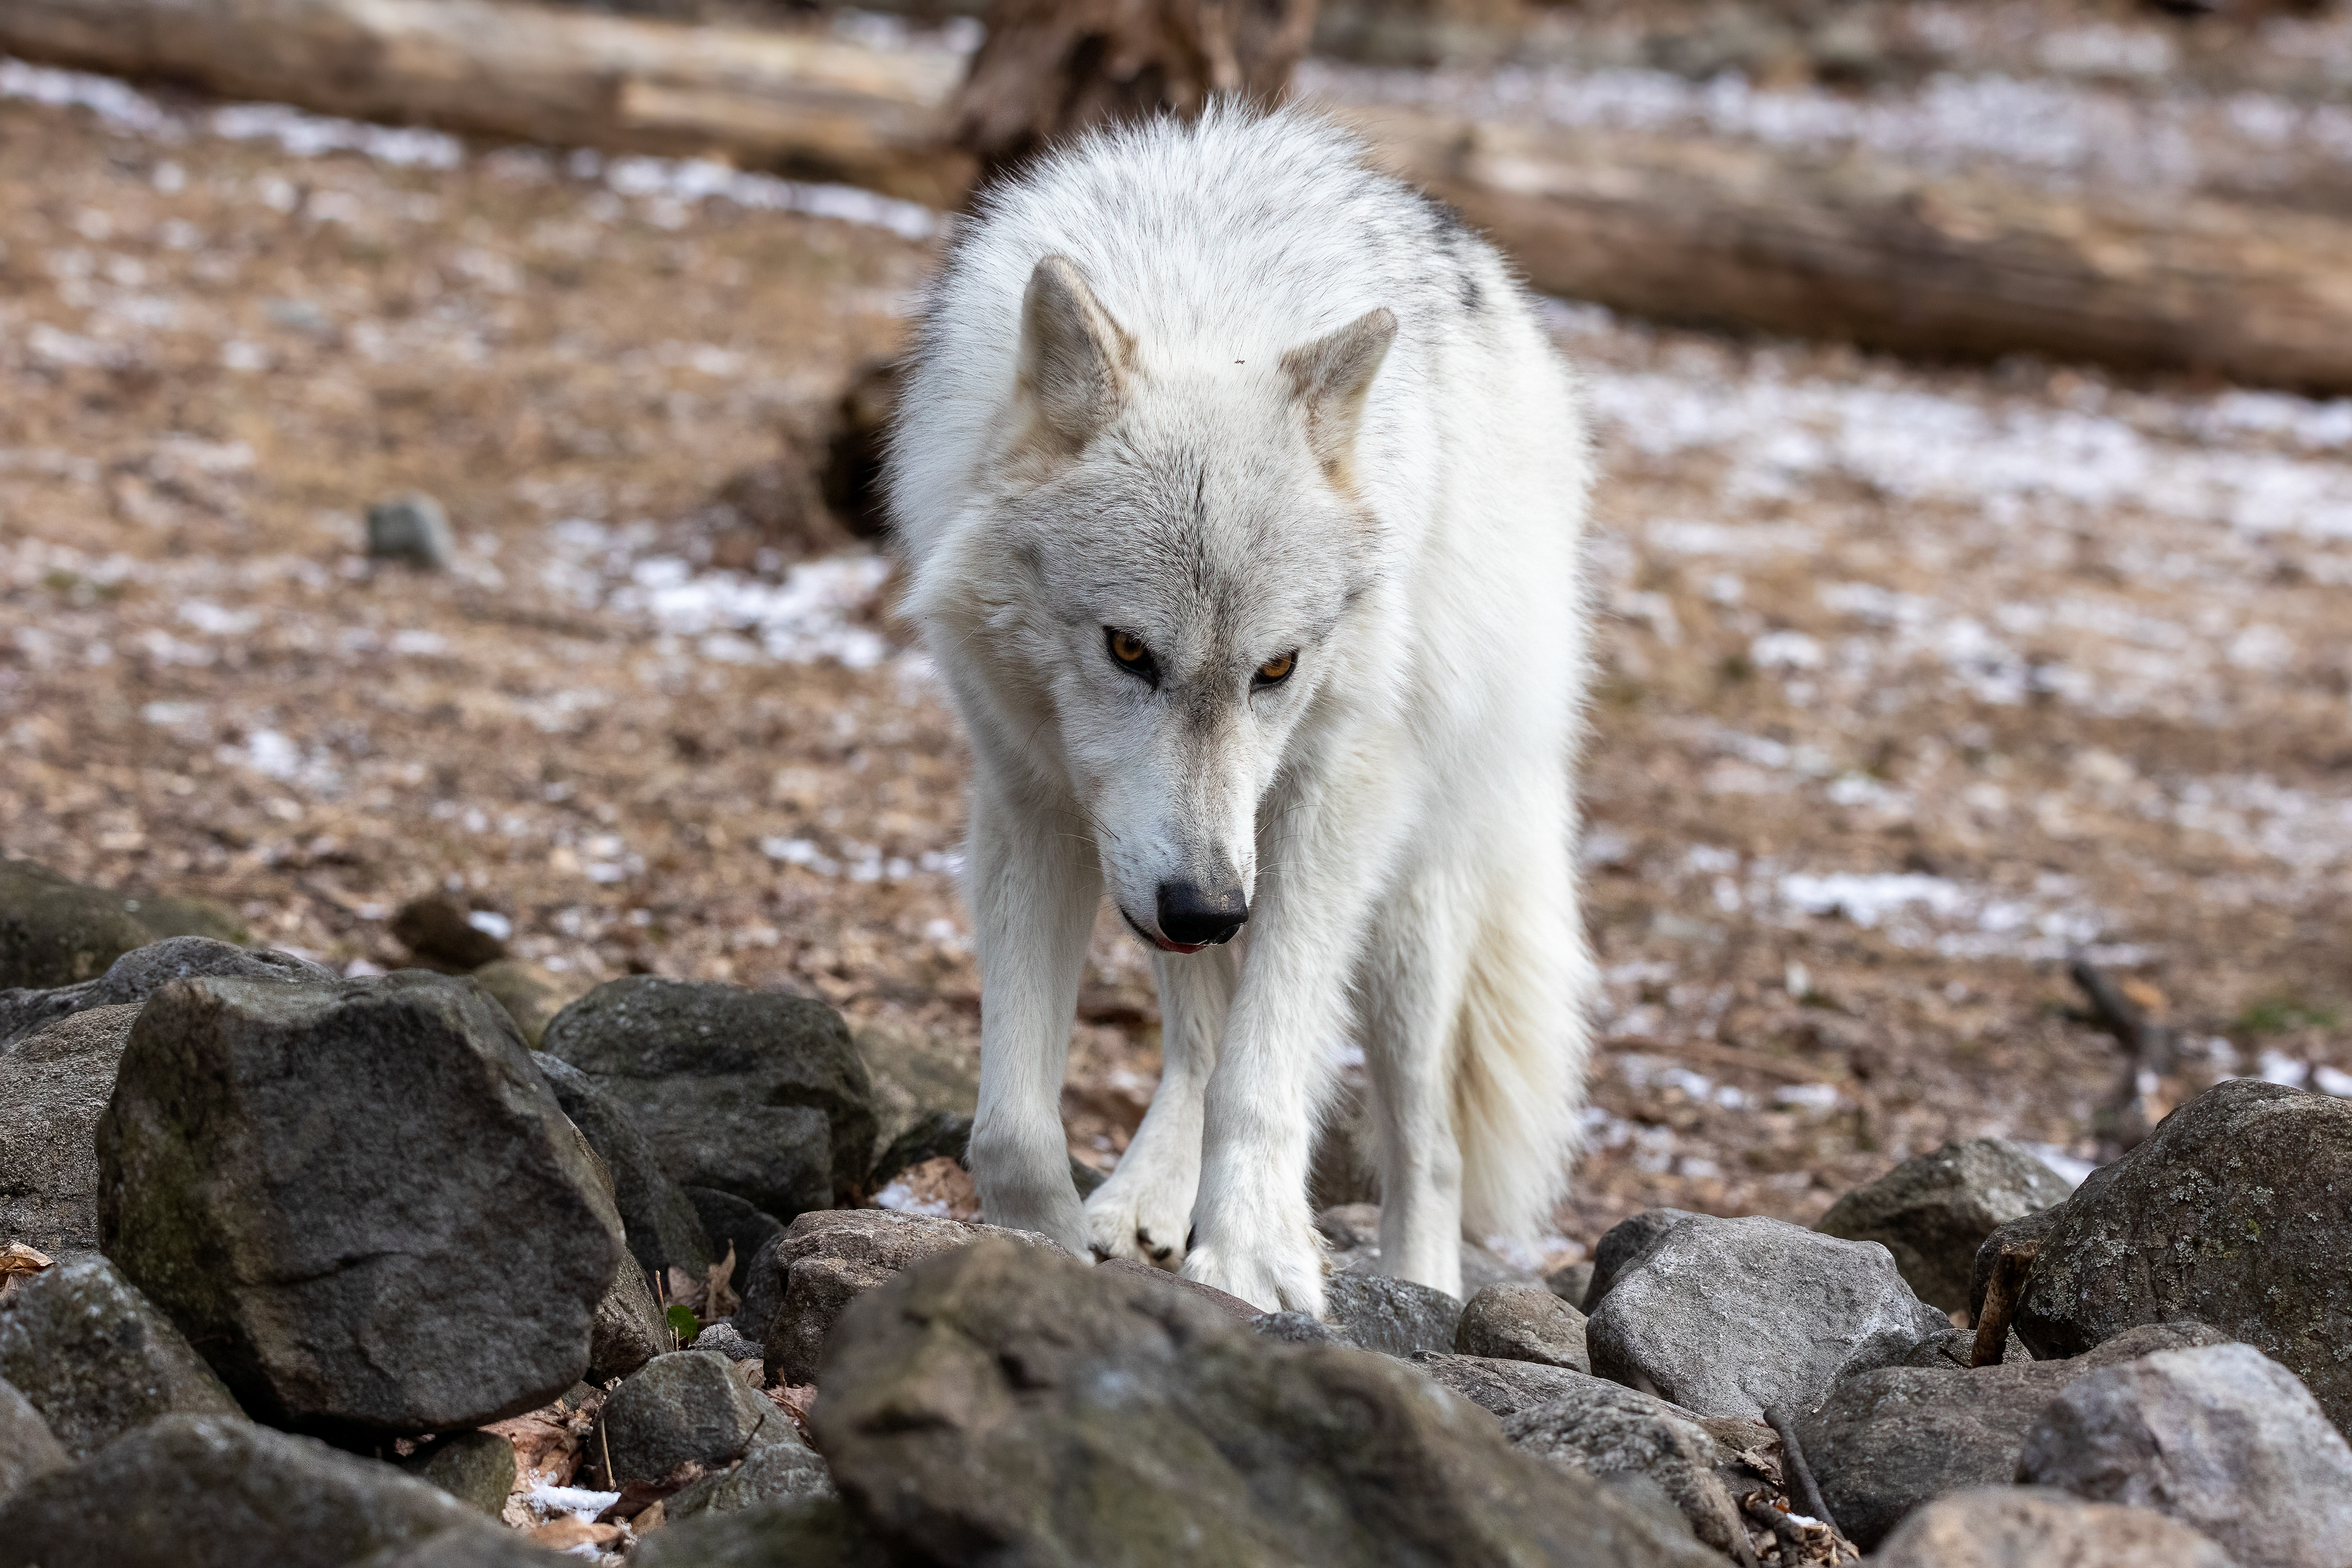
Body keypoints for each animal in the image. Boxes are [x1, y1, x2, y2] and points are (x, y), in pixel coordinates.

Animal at [888, 105, 1597, 1314]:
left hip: (1396, 904)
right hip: (1180, 861)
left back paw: (1423, 1281)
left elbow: (1264, 1078)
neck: (1204, 302)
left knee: (1428, 1139)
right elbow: (1014, 1125)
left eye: (1278, 669)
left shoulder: (1329, 813)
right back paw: (1148, 1197)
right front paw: (1039, 1247)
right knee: (1195, 1039)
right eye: (1128, 651)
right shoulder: (1037, 808)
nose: (1209, 909)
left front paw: (1257, 1256)